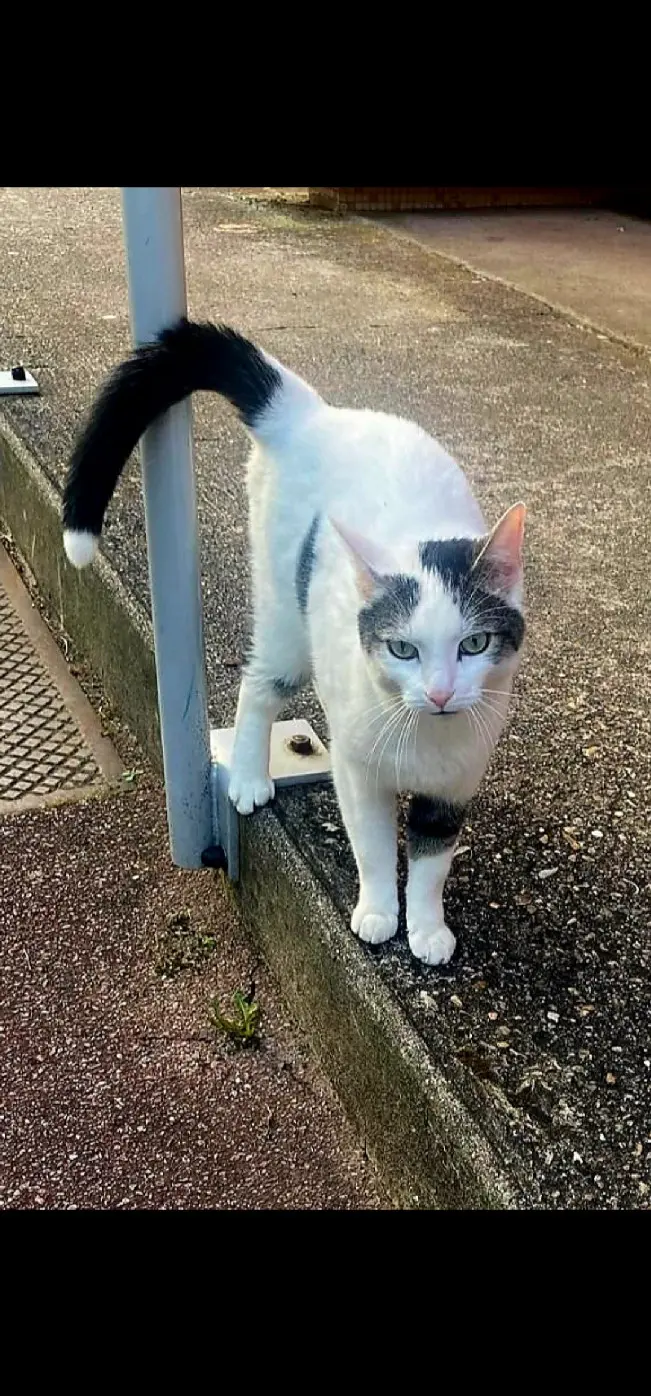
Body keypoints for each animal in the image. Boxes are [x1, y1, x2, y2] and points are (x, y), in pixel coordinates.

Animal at [63, 319, 525, 966]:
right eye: (402, 650)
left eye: (475, 643)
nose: (439, 694)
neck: (423, 735)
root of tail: (311, 413)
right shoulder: (356, 769)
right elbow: (373, 845)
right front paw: (378, 912)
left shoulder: (456, 784)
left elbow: (433, 861)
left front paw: (427, 929)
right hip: (286, 616)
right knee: (258, 684)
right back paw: (249, 778)